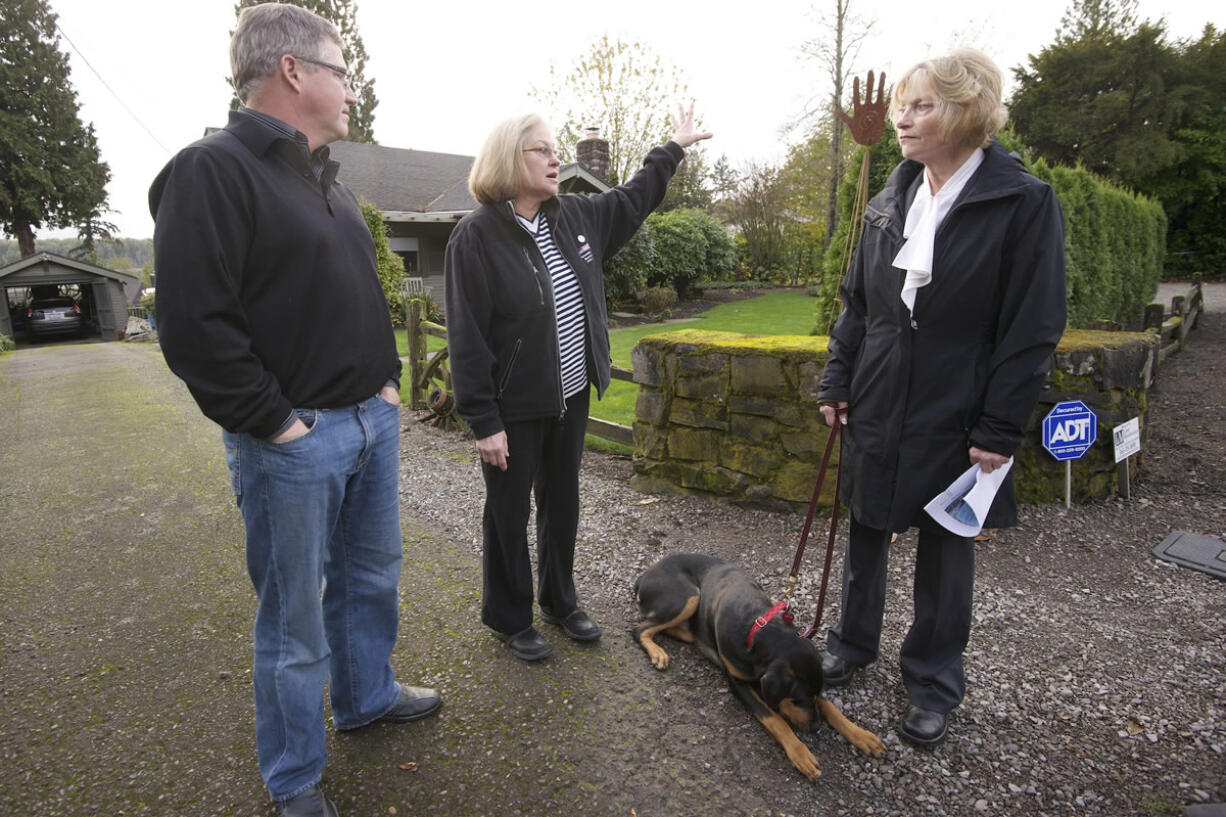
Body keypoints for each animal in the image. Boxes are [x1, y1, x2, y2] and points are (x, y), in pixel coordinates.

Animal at [632, 549, 882, 780]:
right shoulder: (737, 682)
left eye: (814, 694)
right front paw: (800, 753)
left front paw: (862, 736)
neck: (760, 628)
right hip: (688, 596)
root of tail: (645, 575)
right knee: (639, 629)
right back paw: (658, 652)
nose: (816, 728)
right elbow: (774, 718)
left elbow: (829, 707)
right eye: (797, 699)